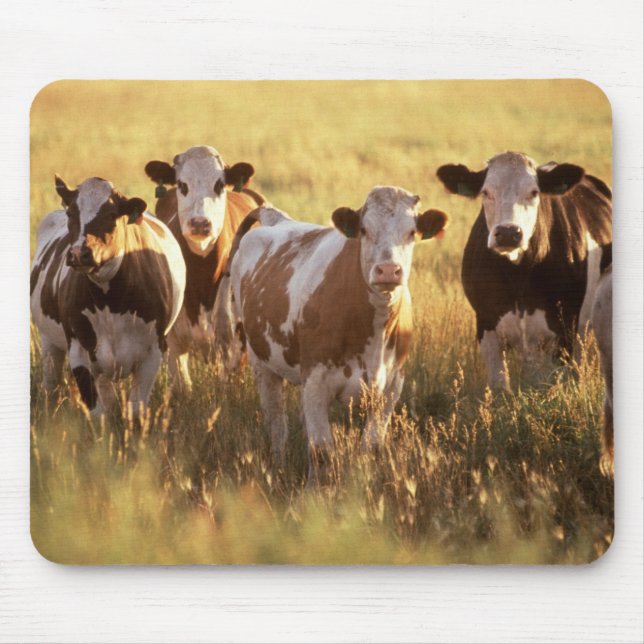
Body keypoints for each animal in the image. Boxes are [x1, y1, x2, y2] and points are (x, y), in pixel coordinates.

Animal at [30, 176, 186, 419]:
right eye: (71, 213)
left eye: (112, 214)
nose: (79, 254)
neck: (109, 301)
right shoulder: (79, 349)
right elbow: (97, 412)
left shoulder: (154, 351)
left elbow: (136, 410)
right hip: (49, 341)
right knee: (51, 384)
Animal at [228, 187, 448, 484]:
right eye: (364, 230)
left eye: (412, 231)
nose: (388, 270)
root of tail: (277, 219)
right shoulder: (315, 381)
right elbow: (321, 451)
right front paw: (315, 492)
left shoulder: (391, 387)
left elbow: (370, 447)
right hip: (261, 362)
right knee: (277, 423)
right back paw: (278, 467)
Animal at [436, 151, 612, 390]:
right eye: (486, 192)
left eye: (534, 192)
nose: (508, 233)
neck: (517, 277)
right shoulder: (485, 325)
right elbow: (500, 387)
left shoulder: (565, 328)